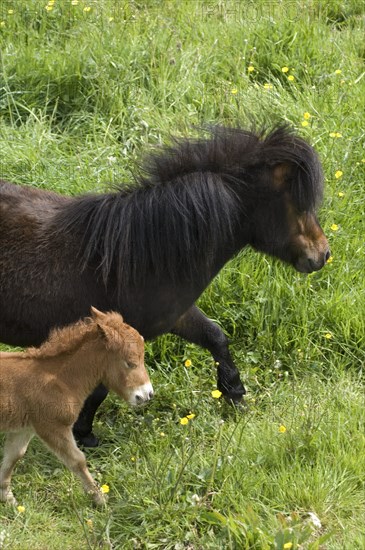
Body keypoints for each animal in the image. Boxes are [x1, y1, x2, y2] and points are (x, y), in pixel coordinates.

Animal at [0, 126, 328, 448]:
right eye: (298, 204)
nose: (323, 254)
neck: (138, 254)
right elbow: (102, 387)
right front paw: (84, 432)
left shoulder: (177, 315)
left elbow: (216, 338)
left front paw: (234, 395)